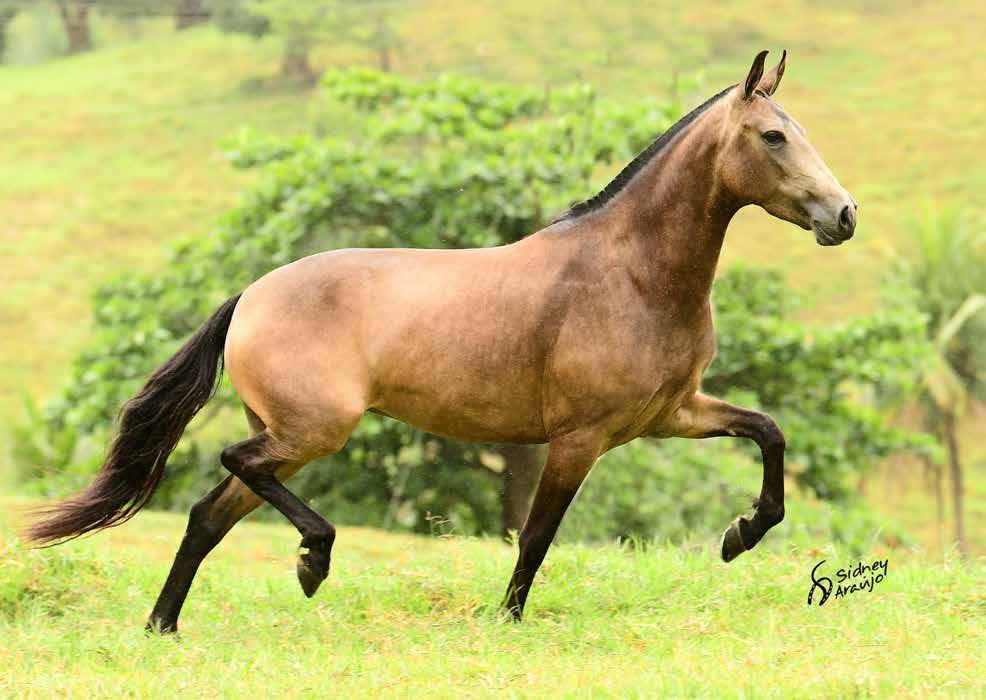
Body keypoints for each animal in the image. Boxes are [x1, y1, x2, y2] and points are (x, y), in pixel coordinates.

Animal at [23, 52, 852, 632]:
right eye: (773, 137)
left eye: (803, 133)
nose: (842, 215)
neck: (630, 272)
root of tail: (250, 297)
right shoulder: (579, 439)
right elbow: (536, 537)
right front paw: (507, 622)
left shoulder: (672, 413)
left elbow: (769, 431)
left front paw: (741, 534)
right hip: (313, 430)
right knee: (233, 467)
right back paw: (312, 561)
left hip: (292, 436)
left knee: (206, 515)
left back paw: (163, 626)